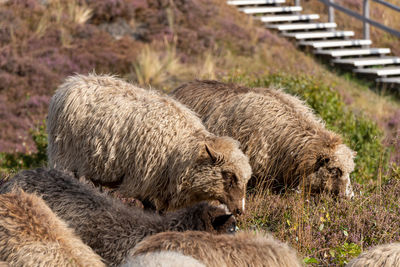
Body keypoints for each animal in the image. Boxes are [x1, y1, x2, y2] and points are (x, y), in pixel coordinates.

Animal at [47, 74, 252, 216]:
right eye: (229, 176)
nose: (240, 211)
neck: (184, 149)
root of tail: (70, 83)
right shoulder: (145, 183)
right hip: (66, 158)